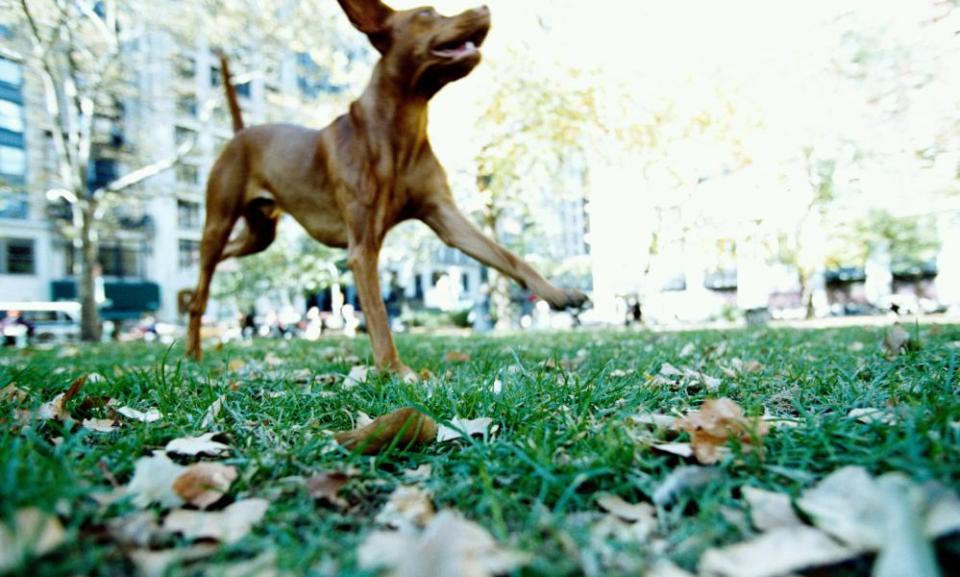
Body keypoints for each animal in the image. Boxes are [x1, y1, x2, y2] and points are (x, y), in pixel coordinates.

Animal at [188, 0, 588, 374]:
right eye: (427, 13)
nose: (484, 8)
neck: (401, 128)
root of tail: (241, 133)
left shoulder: (447, 218)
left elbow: (508, 257)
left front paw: (559, 293)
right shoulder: (362, 247)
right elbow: (379, 316)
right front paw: (396, 371)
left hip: (259, 235)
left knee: (221, 260)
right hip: (218, 223)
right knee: (201, 289)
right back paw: (193, 350)